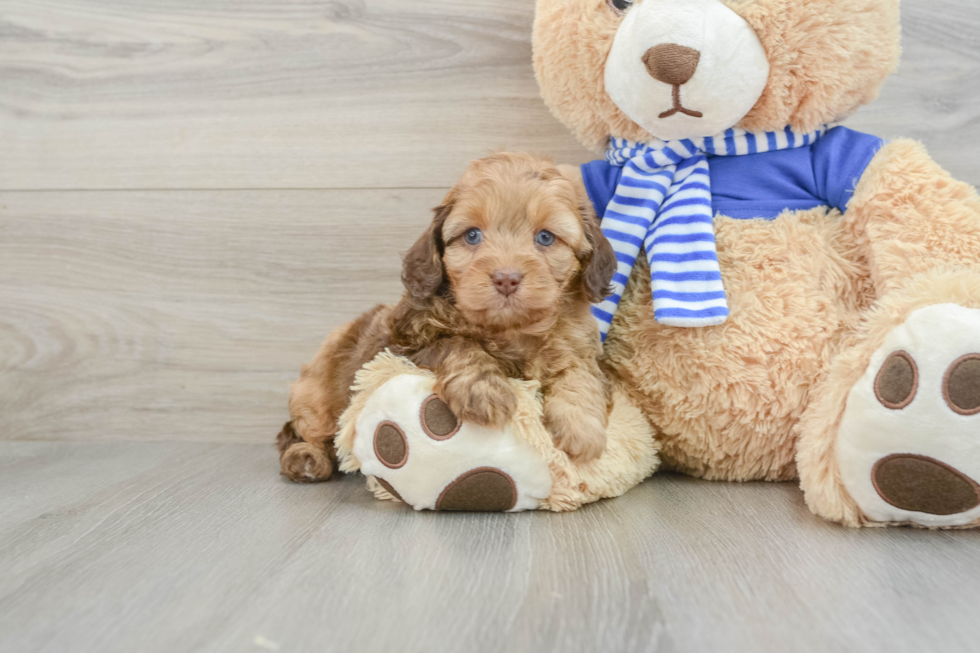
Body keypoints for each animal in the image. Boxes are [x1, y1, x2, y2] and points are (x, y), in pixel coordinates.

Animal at [278, 152, 612, 478]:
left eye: (545, 238)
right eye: (472, 235)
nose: (506, 278)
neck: (508, 329)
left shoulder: (577, 343)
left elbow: (578, 373)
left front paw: (581, 427)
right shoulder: (406, 345)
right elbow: (458, 343)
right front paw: (484, 390)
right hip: (316, 391)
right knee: (306, 430)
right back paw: (306, 458)